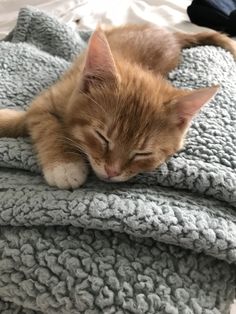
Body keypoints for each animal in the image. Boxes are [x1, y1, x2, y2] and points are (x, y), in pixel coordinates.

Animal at [0, 25, 236, 189]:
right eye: (101, 137)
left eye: (142, 153)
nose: (111, 171)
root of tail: (172, 34)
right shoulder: (47, 100)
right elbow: (44, 123)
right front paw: (64, 165)